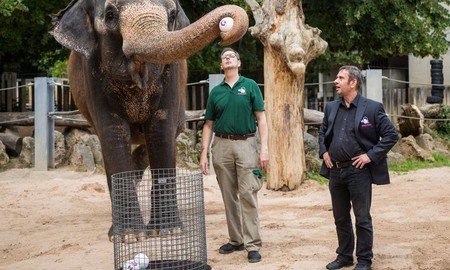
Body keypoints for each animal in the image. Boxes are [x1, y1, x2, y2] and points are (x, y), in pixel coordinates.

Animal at [50, 0, 250, 243]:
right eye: (110, 15)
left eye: (172, 15)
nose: (224, 33)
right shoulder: (92, 74)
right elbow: (112, 133)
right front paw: (128, 237)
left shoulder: (171, 74)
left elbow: (160, 129)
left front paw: (168, 232)